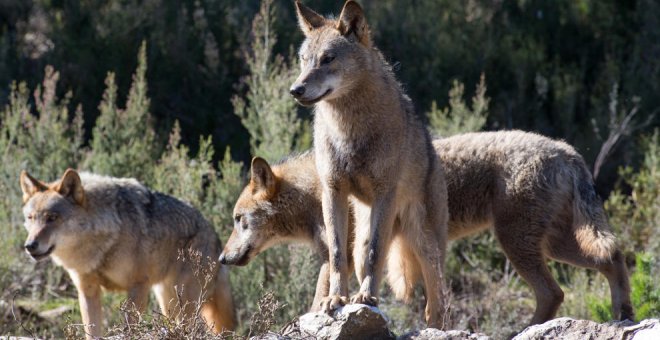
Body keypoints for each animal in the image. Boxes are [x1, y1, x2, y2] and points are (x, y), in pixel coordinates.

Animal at [20, 169, 236, 338]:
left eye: (52, 218)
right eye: (30, 218)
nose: (30, 245)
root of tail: (215, 237)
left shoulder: (138, 286)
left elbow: (130, 328)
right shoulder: (87, 290)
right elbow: (92, 331)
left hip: (185, 305)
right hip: (168, 302)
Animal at [220, 131, 636, 326]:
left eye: (239, 221)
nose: (222, 258)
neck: (315, 192)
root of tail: (568, 151)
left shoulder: (343, 257)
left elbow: (321, 298)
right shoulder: (338, 258)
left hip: (520, 245)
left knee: (554, 292)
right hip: (554, 245)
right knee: (613, 258)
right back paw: (624, 314)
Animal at [292, 0, 452, 326]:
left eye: (327, 59)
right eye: (303, 60)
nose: (295, 90)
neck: (349, 130)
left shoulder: (384, 193)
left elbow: (376, 255)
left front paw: (366, 298)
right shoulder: (333, 192)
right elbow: (336, 255)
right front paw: (335, 299)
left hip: (425, 245)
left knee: (436, 304)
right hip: (364, 234)